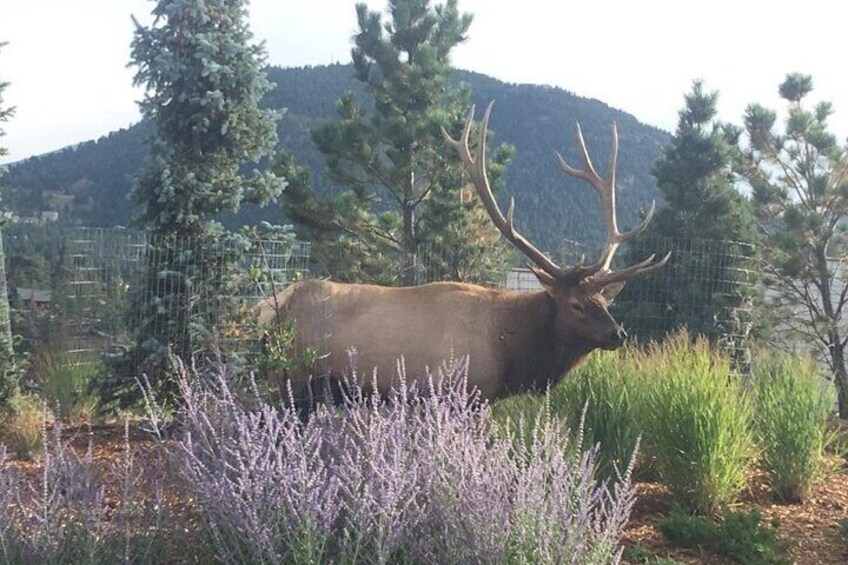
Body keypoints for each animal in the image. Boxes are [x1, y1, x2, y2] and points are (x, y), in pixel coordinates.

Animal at [256, 102, 669, 403]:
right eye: (577, 305)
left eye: (606, 300)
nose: (618, 333)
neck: (509, 349)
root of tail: (267, 309)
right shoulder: (457, 392)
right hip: (289, 376)